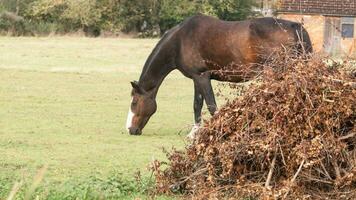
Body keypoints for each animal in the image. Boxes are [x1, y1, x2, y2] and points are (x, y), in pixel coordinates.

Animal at [125, 14, 312, 136]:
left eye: (134, 103)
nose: (131, 130)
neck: (179, 41)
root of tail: (295, 27)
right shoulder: (197, 78)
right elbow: (197, 104)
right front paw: (194, 132)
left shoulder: (202, 76)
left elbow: (211, 106)